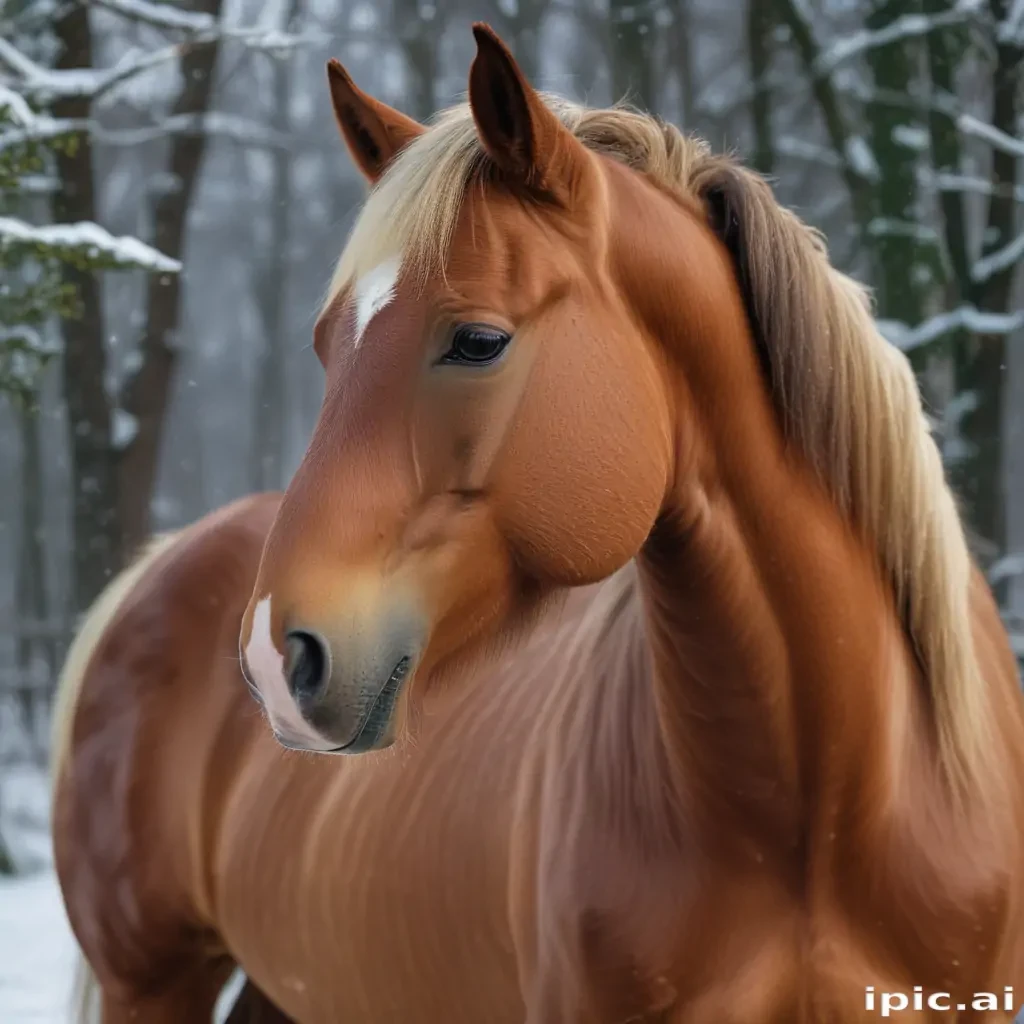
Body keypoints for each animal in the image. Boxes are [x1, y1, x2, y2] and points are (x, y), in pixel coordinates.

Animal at [51, 22, 1024, 1023]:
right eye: (328, 346)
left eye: (478, 341)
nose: (272, 661)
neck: (822, 821)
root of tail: (158, 567)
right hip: (151, 981)